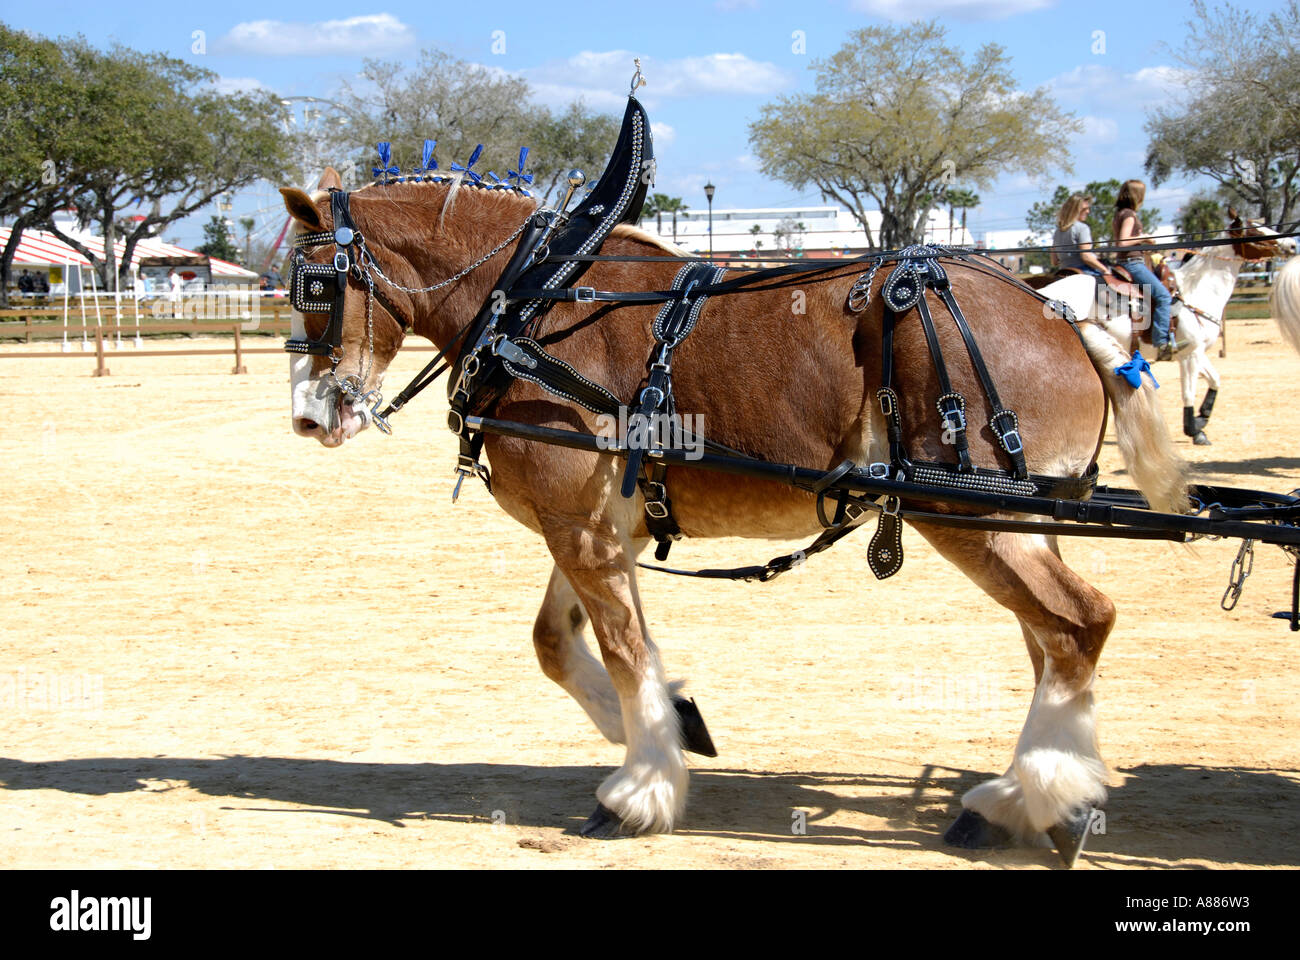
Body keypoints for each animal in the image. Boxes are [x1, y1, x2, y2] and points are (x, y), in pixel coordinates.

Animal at [277, 156, 1191, 865]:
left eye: (313, 284)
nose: (310, 415)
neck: (536, 304)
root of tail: (1063, 317)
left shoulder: (578, 526)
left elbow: (622, 650)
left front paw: (640, 788)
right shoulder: (597, 526)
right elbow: (559, 643)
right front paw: (674, 725)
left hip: (963, 516)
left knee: (1077, 624)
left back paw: (1033, 797)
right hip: (1012, 521)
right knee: (1053, 641)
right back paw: (1033, 794)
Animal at [1040, 212, 1298, 445]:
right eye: (1255, 228)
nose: (1292, 243)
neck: (1195, 292)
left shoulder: (1193, 352)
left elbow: (1215, 380)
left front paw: (1202, 418)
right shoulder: (1191, 355)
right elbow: (1189, 392)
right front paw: (1194, 429)